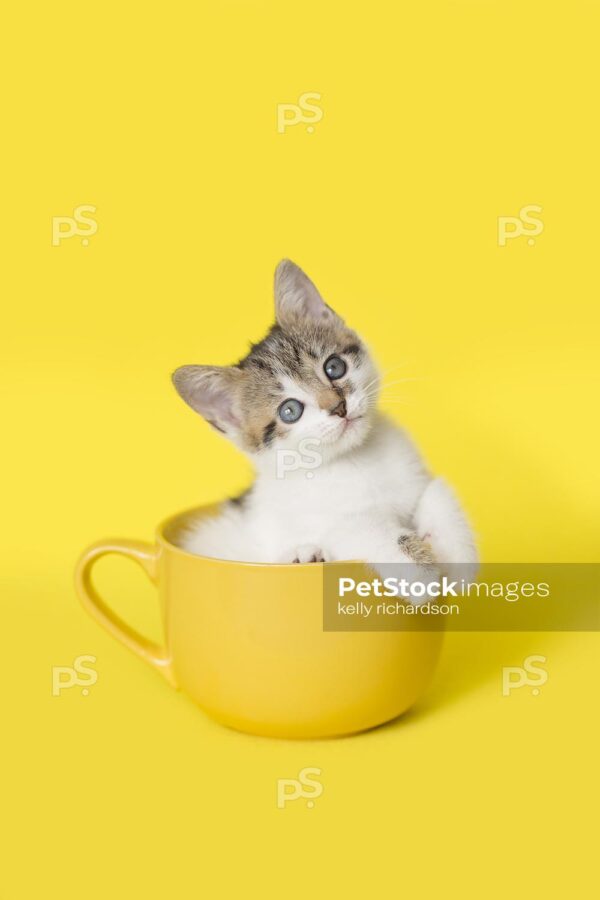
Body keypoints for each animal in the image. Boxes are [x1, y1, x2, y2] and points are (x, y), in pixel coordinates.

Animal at [172, 260, 478, 584]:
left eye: (334, 367)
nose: (338, 407)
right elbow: (359, 528)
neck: (353, 460)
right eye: (290, 411)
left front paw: (458, 555)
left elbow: (437, 491)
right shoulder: (325, 524)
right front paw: (419, 569)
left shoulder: (416, 477)